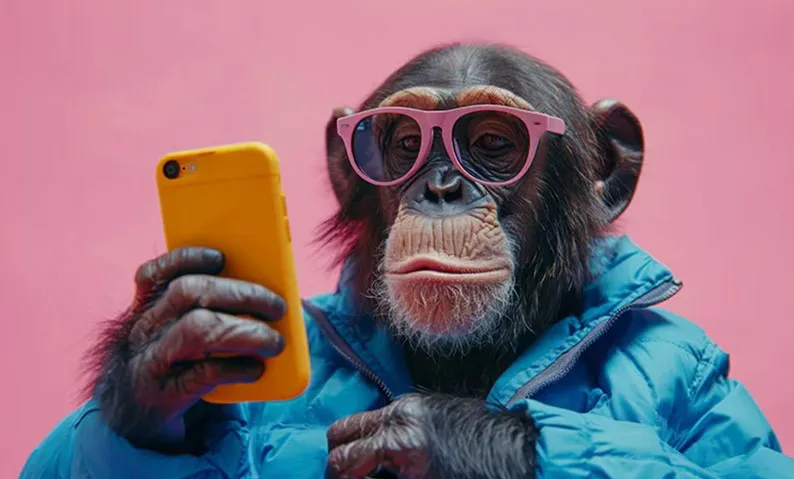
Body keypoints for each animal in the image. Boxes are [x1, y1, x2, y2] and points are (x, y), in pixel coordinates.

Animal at [21, 43, 794, 479]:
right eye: (401, 143)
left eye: (494, 141)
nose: (442, 186)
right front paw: (159, 352)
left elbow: (747, 465)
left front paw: (453, 436)